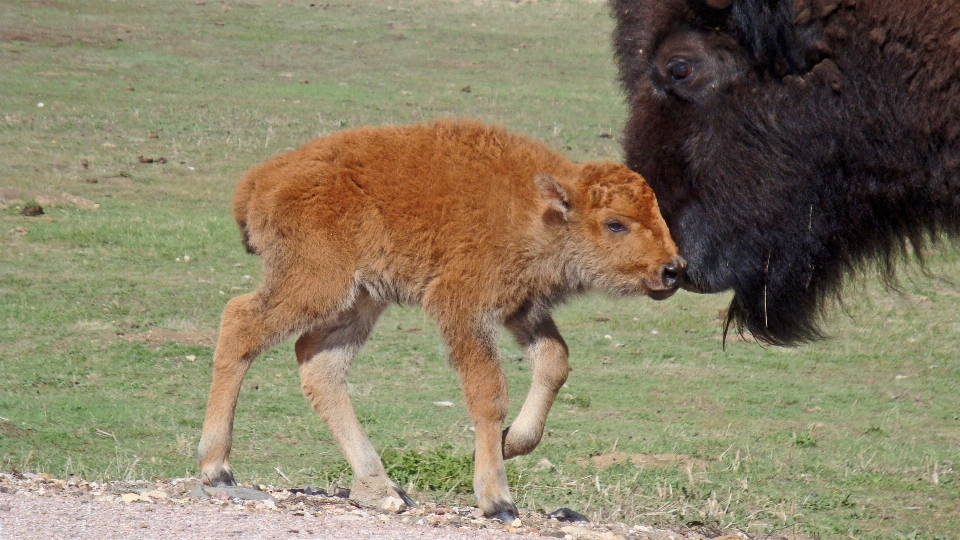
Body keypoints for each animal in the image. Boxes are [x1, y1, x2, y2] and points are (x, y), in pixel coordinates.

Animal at [199, 121, 688, 520]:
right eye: (615, 224)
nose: (673, 270)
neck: (534, 209)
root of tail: (260, 181)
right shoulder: (463, 307)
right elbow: (489, 393)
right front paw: (497, 500)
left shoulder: (521, 308)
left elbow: (554, 362)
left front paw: (511, 441)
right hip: (317, 284)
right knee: (240, 323)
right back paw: (217, 468)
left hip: (363, 299)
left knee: (318, 363)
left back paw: (381, 487)